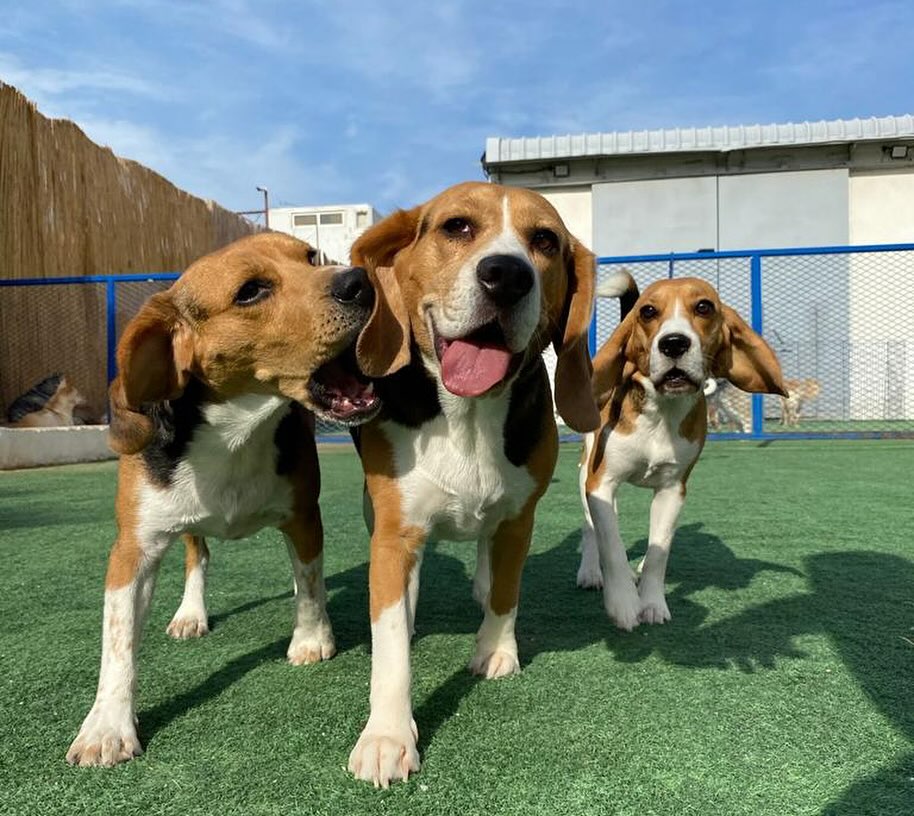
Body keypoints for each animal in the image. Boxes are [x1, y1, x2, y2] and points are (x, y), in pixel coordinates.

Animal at [68, 233, 382, 768]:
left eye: (310, 257)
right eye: (251, 291)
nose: (359, 280)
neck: (235, 435)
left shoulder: (304, 517)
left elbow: (309, 584)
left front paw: (311, 638)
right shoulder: (132, 549)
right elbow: (118, 640)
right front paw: (106, 725)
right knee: (199, 555)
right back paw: (190, 614)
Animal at [576, 278, 784, 628]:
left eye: (704, 307)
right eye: (648, 311)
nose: (674, 343)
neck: (661, 412)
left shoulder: (673, 490)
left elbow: (659, 551)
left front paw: (652, 602)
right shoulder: (601, 483)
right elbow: (612, 545)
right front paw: (624, 603)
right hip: (585, 476)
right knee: (594, 529)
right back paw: (592, 571)